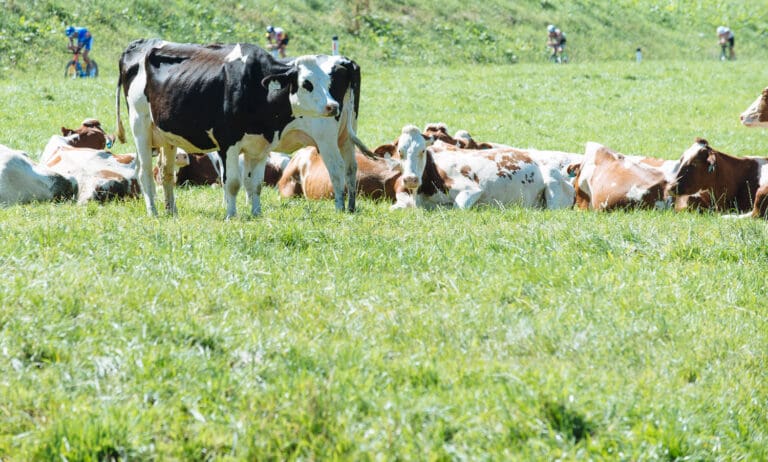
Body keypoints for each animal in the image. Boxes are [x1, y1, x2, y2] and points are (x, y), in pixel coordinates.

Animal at [115, 38, 370, 217]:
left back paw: (171, 210)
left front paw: (255, 214)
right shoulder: (227, 143)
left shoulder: (261, 144)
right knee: (145, 172)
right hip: (141, 127)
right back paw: (154, 212)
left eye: (327, 82)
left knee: (166, 173)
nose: (332, 106)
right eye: (306, 83)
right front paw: (231, 215)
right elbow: (234, 183)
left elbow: (254, 184)